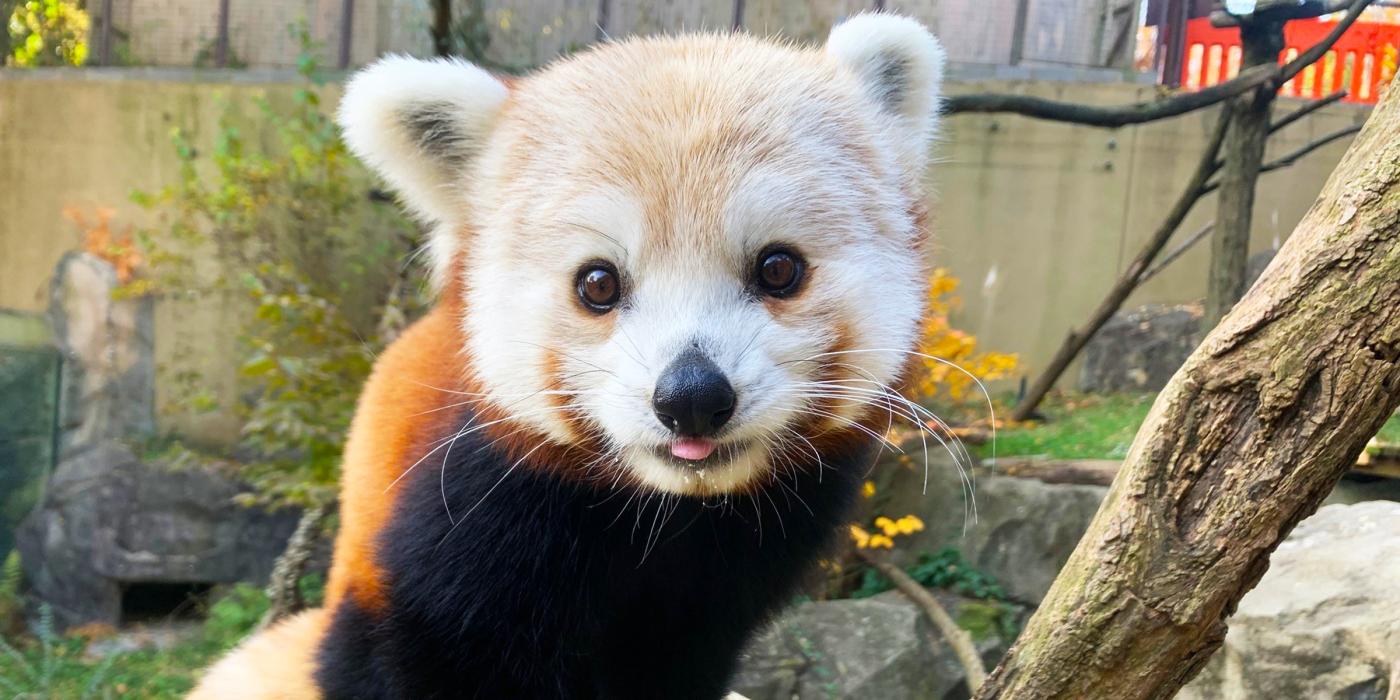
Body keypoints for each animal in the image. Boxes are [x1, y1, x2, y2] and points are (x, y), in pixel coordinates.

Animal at [191, 13, 946, 697]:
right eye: (598, 283)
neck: (665, 516)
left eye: (779, 269)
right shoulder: (462, 533)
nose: (692, 398)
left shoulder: (726, 583)